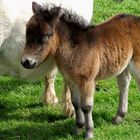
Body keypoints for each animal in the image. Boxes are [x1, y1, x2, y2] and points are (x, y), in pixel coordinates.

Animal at [21, 1, 140, 139]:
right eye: (27, 32)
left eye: (45, 36)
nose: (26, 62)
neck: (74, 49)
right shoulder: (71, 80)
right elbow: (76, 103)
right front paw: (78, 128)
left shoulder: (87, 81)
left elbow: (86, 106)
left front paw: (89, 132)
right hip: (122, 65)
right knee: (124, 84)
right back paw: (119, 117)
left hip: (136, 63)